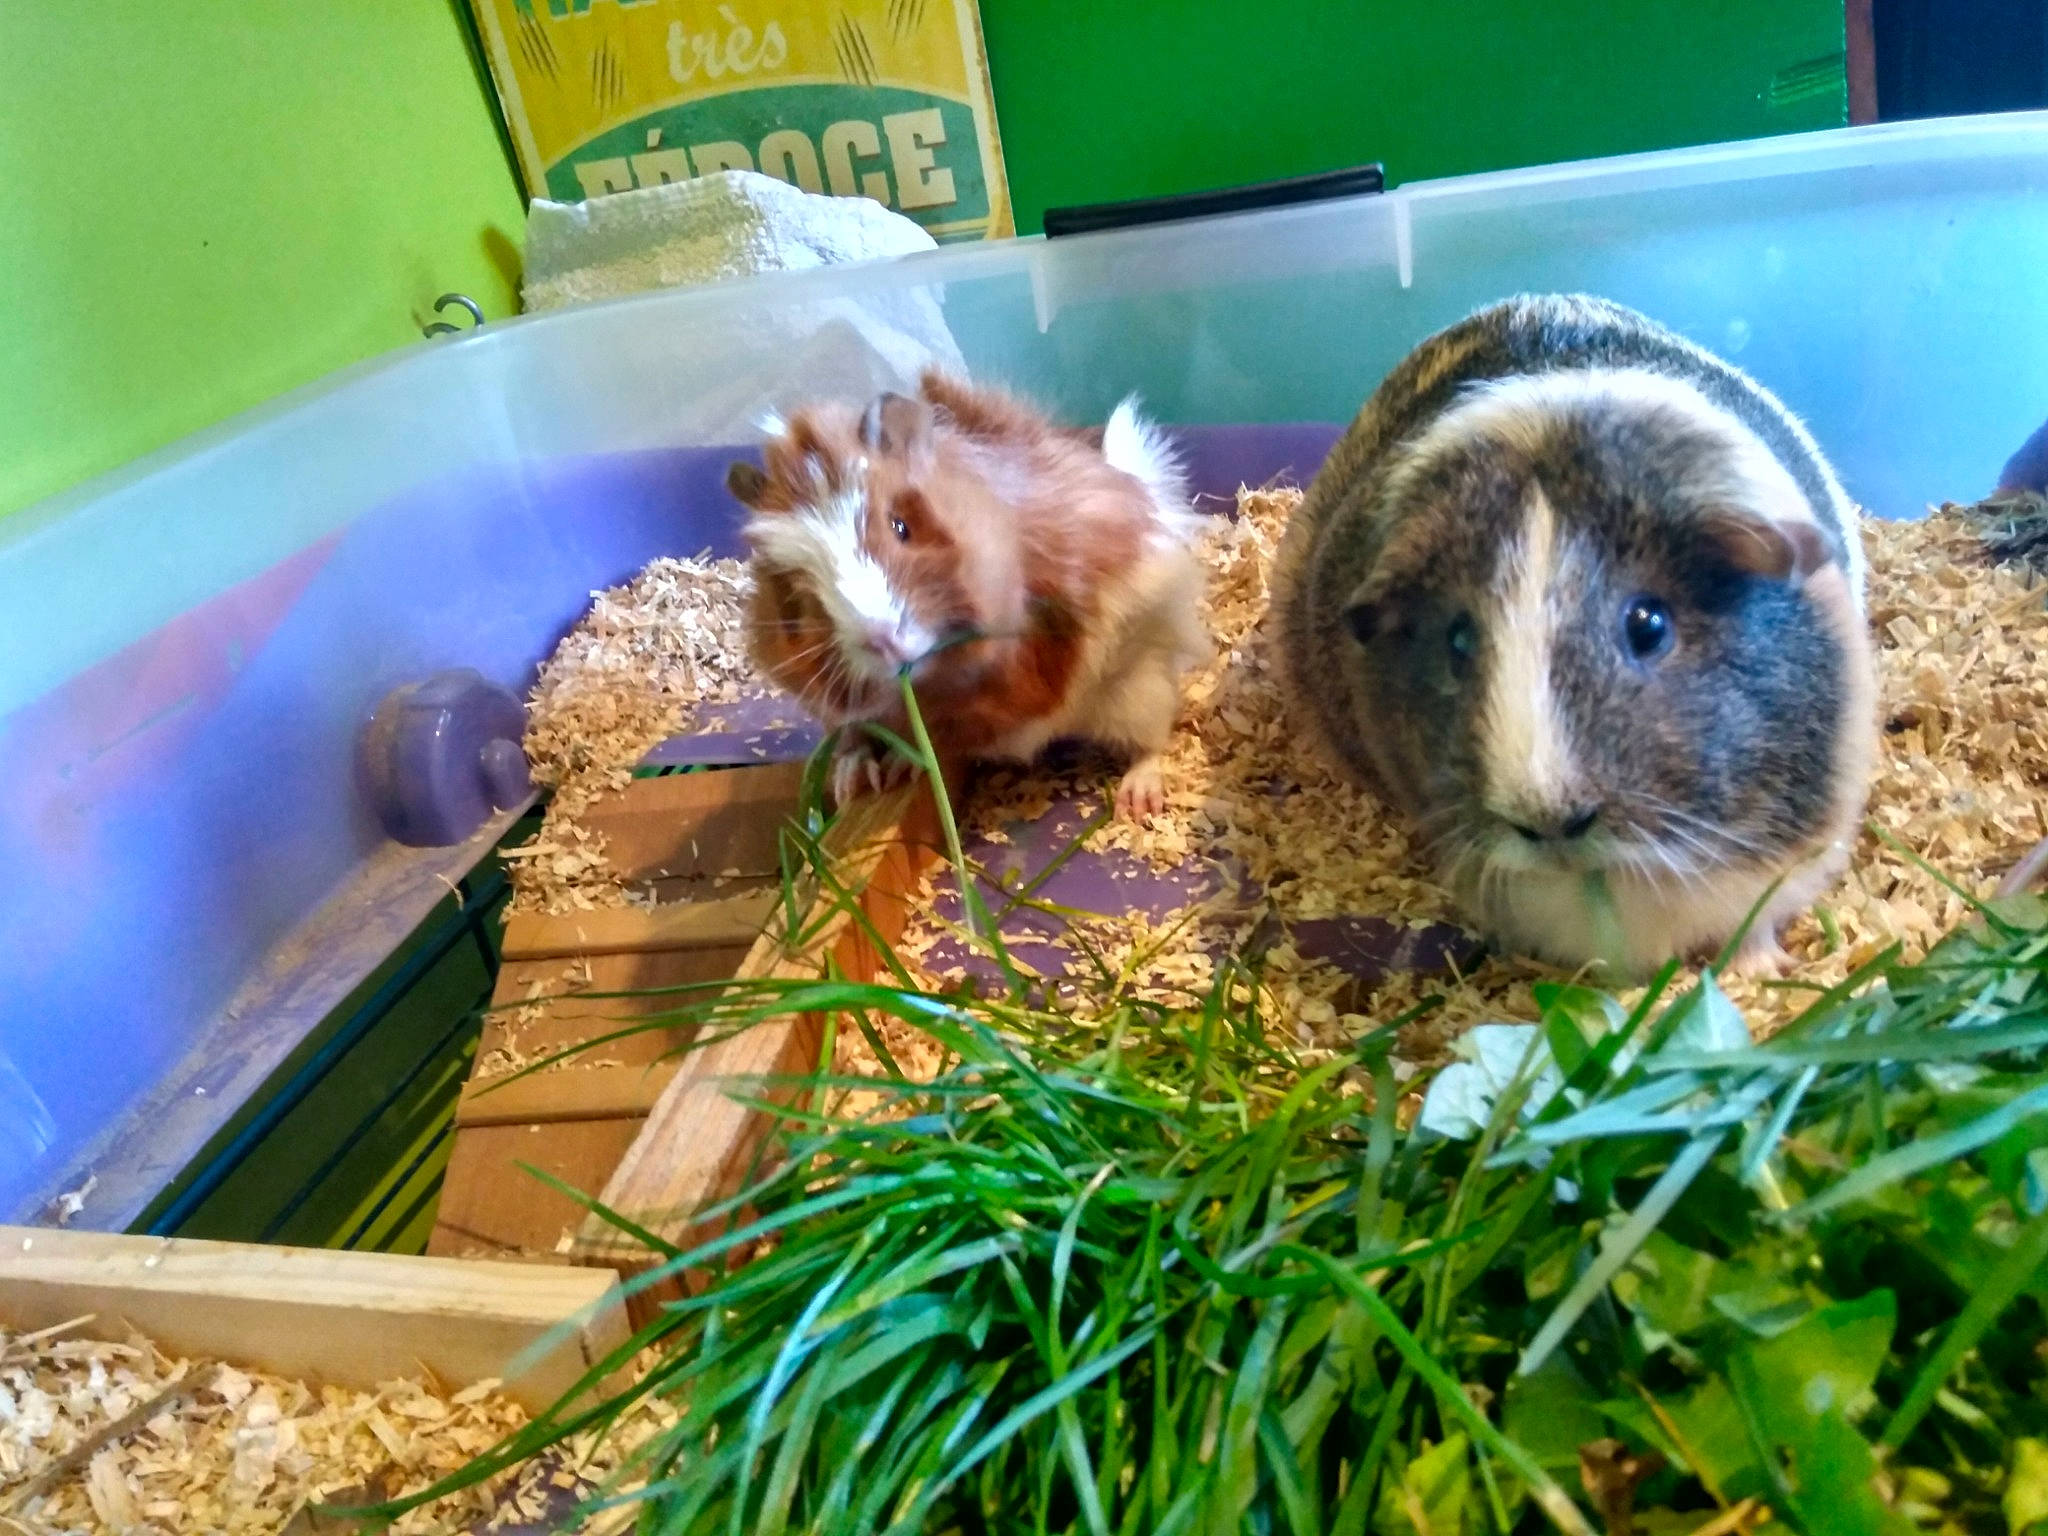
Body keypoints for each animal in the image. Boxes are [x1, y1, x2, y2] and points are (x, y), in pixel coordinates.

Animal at [727, 369, 1210, 818]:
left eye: (901, 527)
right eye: (796, 591)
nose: (881, 638)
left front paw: (904, 769)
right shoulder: (833, 704)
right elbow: (859, 732)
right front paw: (859, 782)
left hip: (1140, 687)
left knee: (1151, 741)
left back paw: (1139, 802)